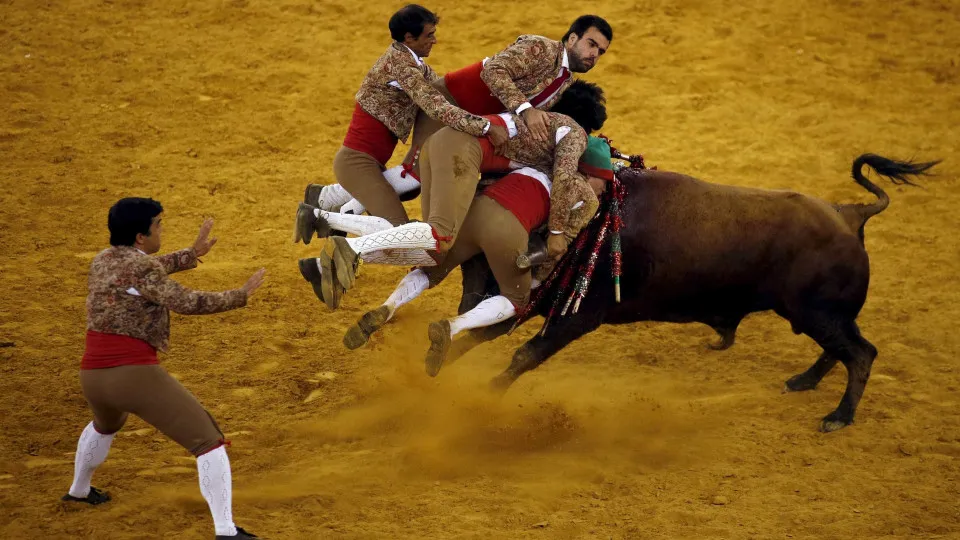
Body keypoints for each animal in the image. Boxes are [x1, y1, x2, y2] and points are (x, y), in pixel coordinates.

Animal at [448, 154, 936, 432]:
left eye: (486, 256)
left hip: (818, 315)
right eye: (469, 261)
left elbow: (524, 354)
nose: (472, 297)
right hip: (822, 317)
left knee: (861, 354)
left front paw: (486, 396)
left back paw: (839, 417)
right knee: (843, 350)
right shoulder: (535, 303)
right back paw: (804, 381)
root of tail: (850, 214)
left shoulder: (576, 316)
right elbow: (479, 336)